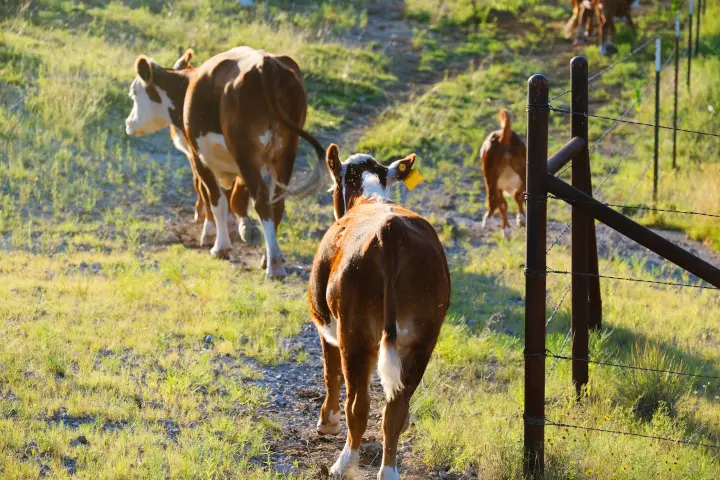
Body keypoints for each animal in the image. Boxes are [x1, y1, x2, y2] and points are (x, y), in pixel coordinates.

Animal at [125, 46, 326, 278]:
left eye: (134, 93)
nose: (128, 123)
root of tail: (265, 64)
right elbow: (233, 196)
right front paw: (240, 227)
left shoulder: (200, 157)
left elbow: (213, 197)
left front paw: (217, 242)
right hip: (285, 153)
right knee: (277, 202)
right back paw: (267, 257)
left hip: (246, 153)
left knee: (261, 201)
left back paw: (274, 264)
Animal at [308, 144, 451, 479]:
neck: (370, 198)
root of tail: (391, 231)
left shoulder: (324, 322)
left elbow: (330, 373)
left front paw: (327, 421)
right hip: (423, 338)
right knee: (395, 407)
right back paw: (388, 470)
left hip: (355, 334)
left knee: (358, 404)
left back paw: (343, 463)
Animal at [479, 109, 526, 237]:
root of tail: (501, 137)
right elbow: (506, 203)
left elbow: (501, 203)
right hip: (522, 170)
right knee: (515, 196)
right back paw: (521, 219)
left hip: (490, 176)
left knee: (494, 198)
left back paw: (488, 219)